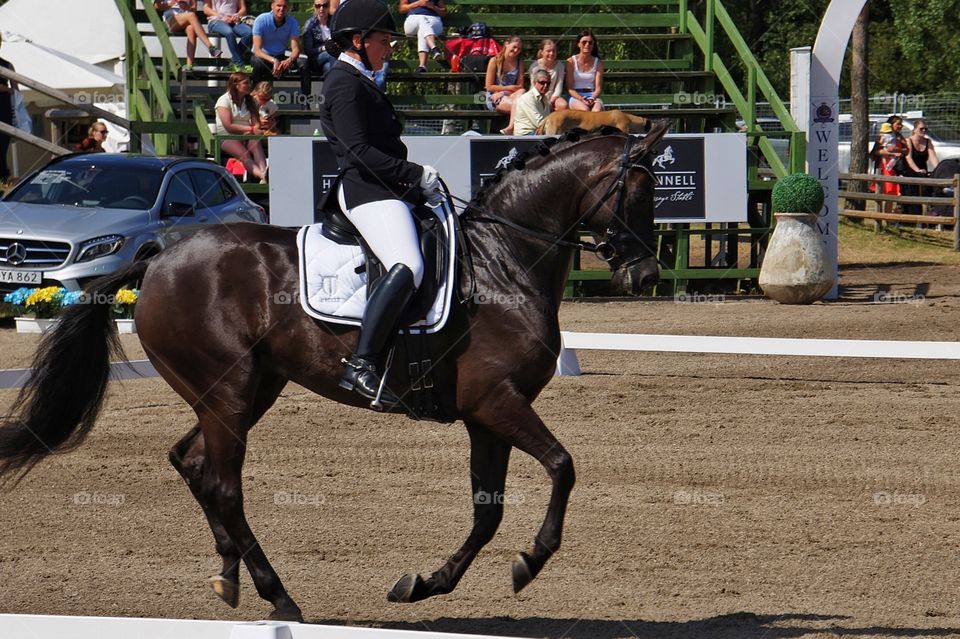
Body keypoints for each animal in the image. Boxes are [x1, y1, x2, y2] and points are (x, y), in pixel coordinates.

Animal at [0, 122, 668, 624]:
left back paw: (229, 577)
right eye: (638, 194)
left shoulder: (486, 415)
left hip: (249, 388)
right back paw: (279, 597)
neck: (504, 264)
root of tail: (161, 257)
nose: (645, 277)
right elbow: (562, 465)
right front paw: (530, 562)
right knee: (222, 483)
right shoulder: (496, 403)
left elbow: (488, 511)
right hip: (228, 390)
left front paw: (423, 584)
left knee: (192, 462)